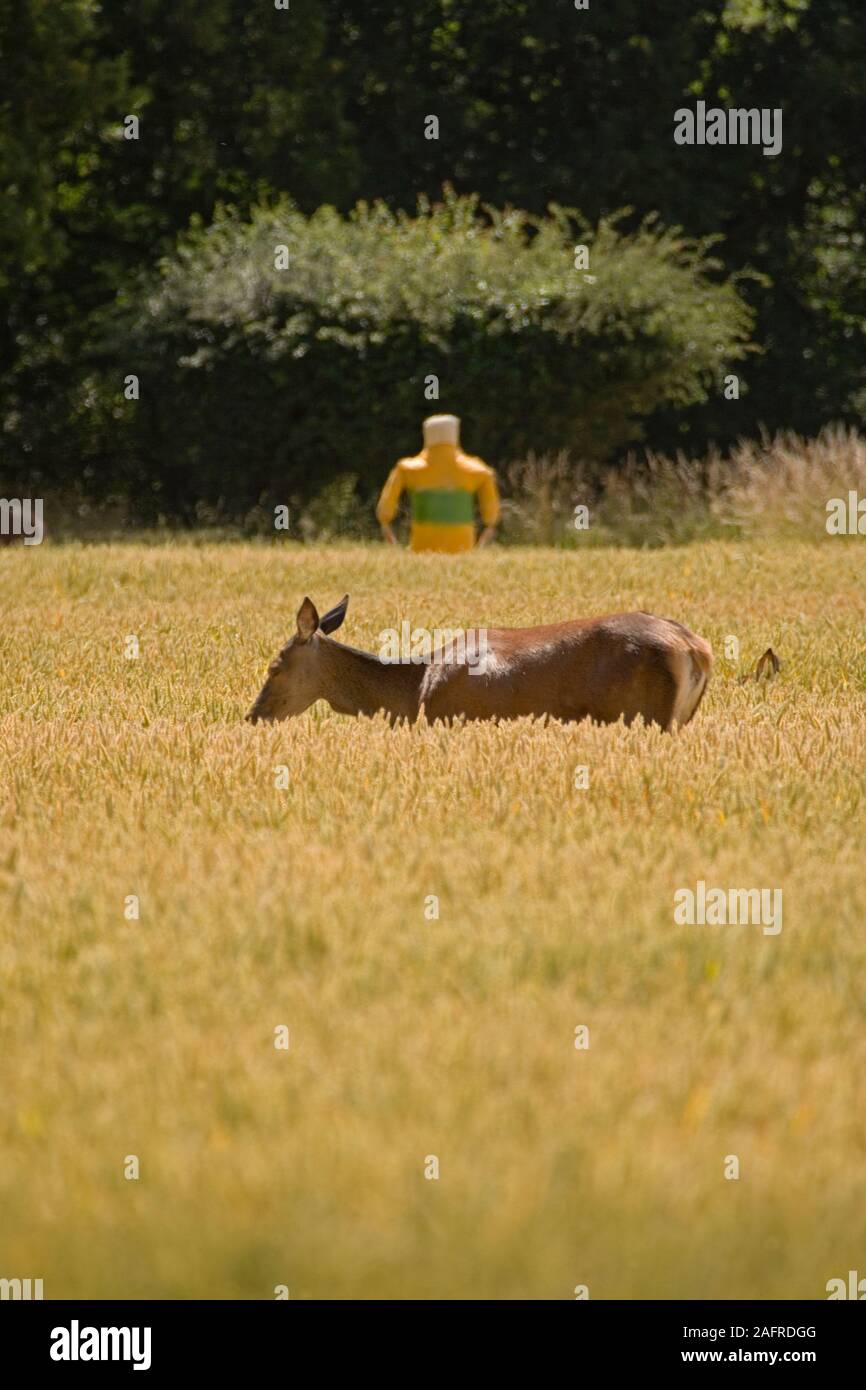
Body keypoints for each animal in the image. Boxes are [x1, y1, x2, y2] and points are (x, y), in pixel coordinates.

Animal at [246, 595, 714, 731]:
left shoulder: (448, 716)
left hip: (648, 714)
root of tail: (696, 649)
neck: (412, 690)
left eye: (274, 667)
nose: (253, 715)